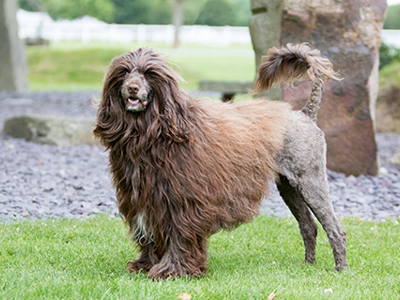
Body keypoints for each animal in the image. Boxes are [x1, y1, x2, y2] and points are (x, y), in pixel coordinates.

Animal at [94, 43, 346, 280]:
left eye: (149, 73)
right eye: (124, 72)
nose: (132, 88)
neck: (153, 131)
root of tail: (305, 114)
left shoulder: (183, 200)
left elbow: (179, 234)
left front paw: (173, 270)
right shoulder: (144, 198)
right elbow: (149, 234)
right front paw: (146, 265)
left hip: (310, 180)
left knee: (336, 230)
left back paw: (340, 270)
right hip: (289, 187)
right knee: (309, 226)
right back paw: (308, 265)